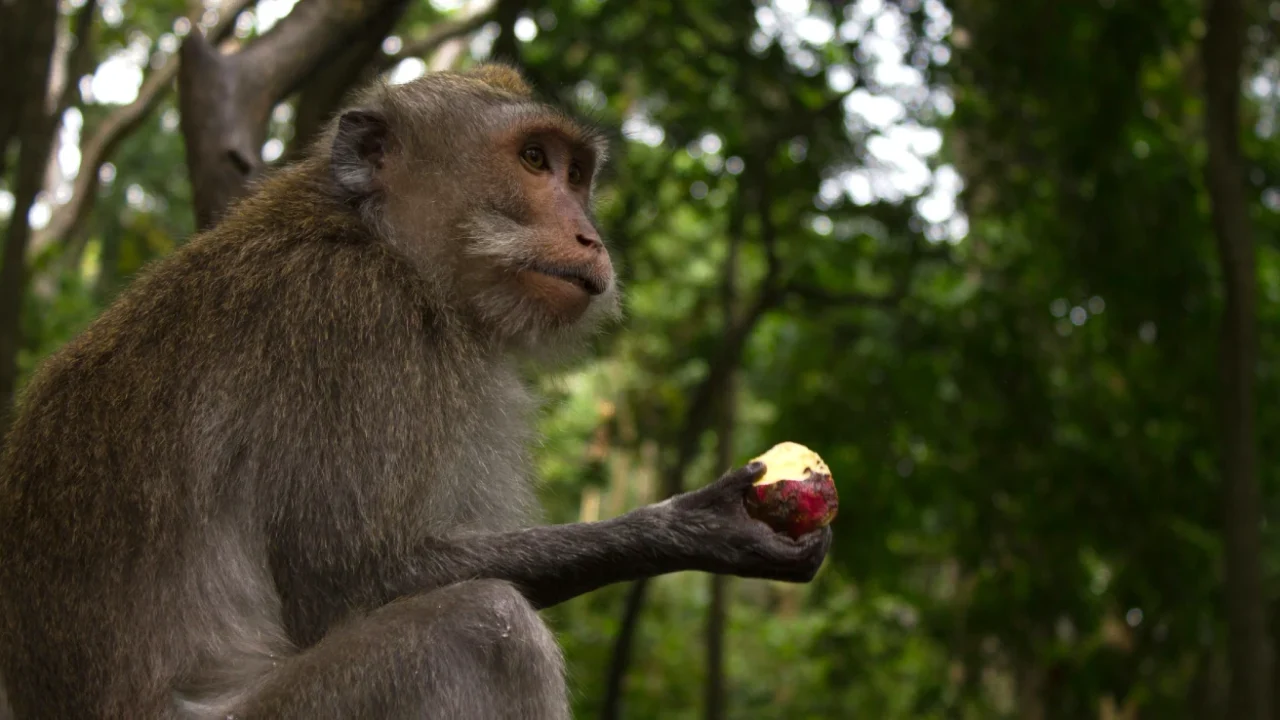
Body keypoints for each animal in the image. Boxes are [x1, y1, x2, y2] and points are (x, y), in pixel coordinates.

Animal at [0, 64, 831, 719]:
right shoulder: (356, 326)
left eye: (576, 175)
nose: (591, 237)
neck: (378, 240)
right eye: (534, 159)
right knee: (480, 629)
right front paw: (685, 527)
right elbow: (347, 581)